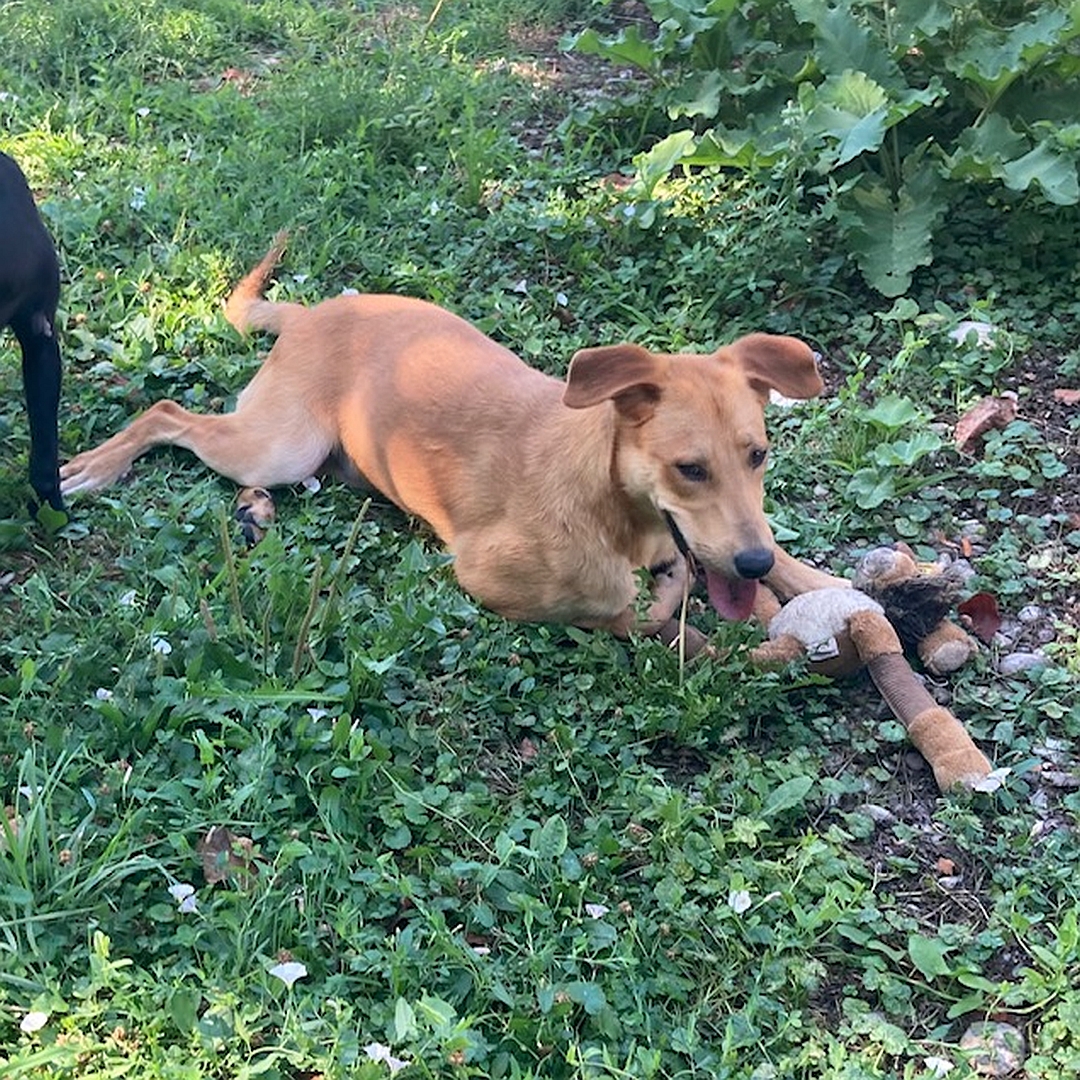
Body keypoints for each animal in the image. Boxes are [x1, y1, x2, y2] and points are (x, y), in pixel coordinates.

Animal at [61, 237, 842, 648]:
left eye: (758, 456)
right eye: (689, 469)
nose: (750, 562)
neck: (615, 505)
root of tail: (313, 313)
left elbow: (780, 563)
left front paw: (818, 581)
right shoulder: (489, 578)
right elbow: (623, 611)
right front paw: (700, 637)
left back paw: (254, 513)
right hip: (279, 443)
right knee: (168, 412)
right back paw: (94, 468)